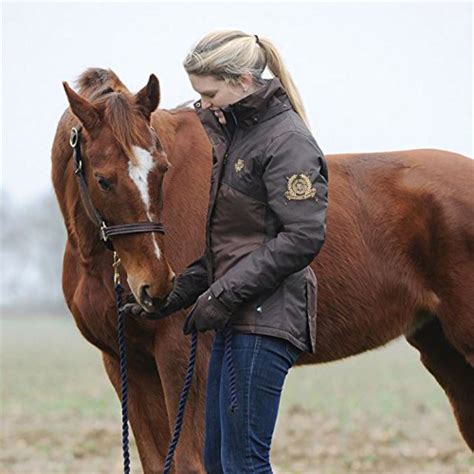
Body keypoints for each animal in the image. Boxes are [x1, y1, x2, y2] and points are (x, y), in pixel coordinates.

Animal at [51, 68, 474, 472]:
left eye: (163, 170)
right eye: (104, 179)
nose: (156, 287)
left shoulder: (182, 358)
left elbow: (187, 462)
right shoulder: (127, 364)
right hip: (442, 349)